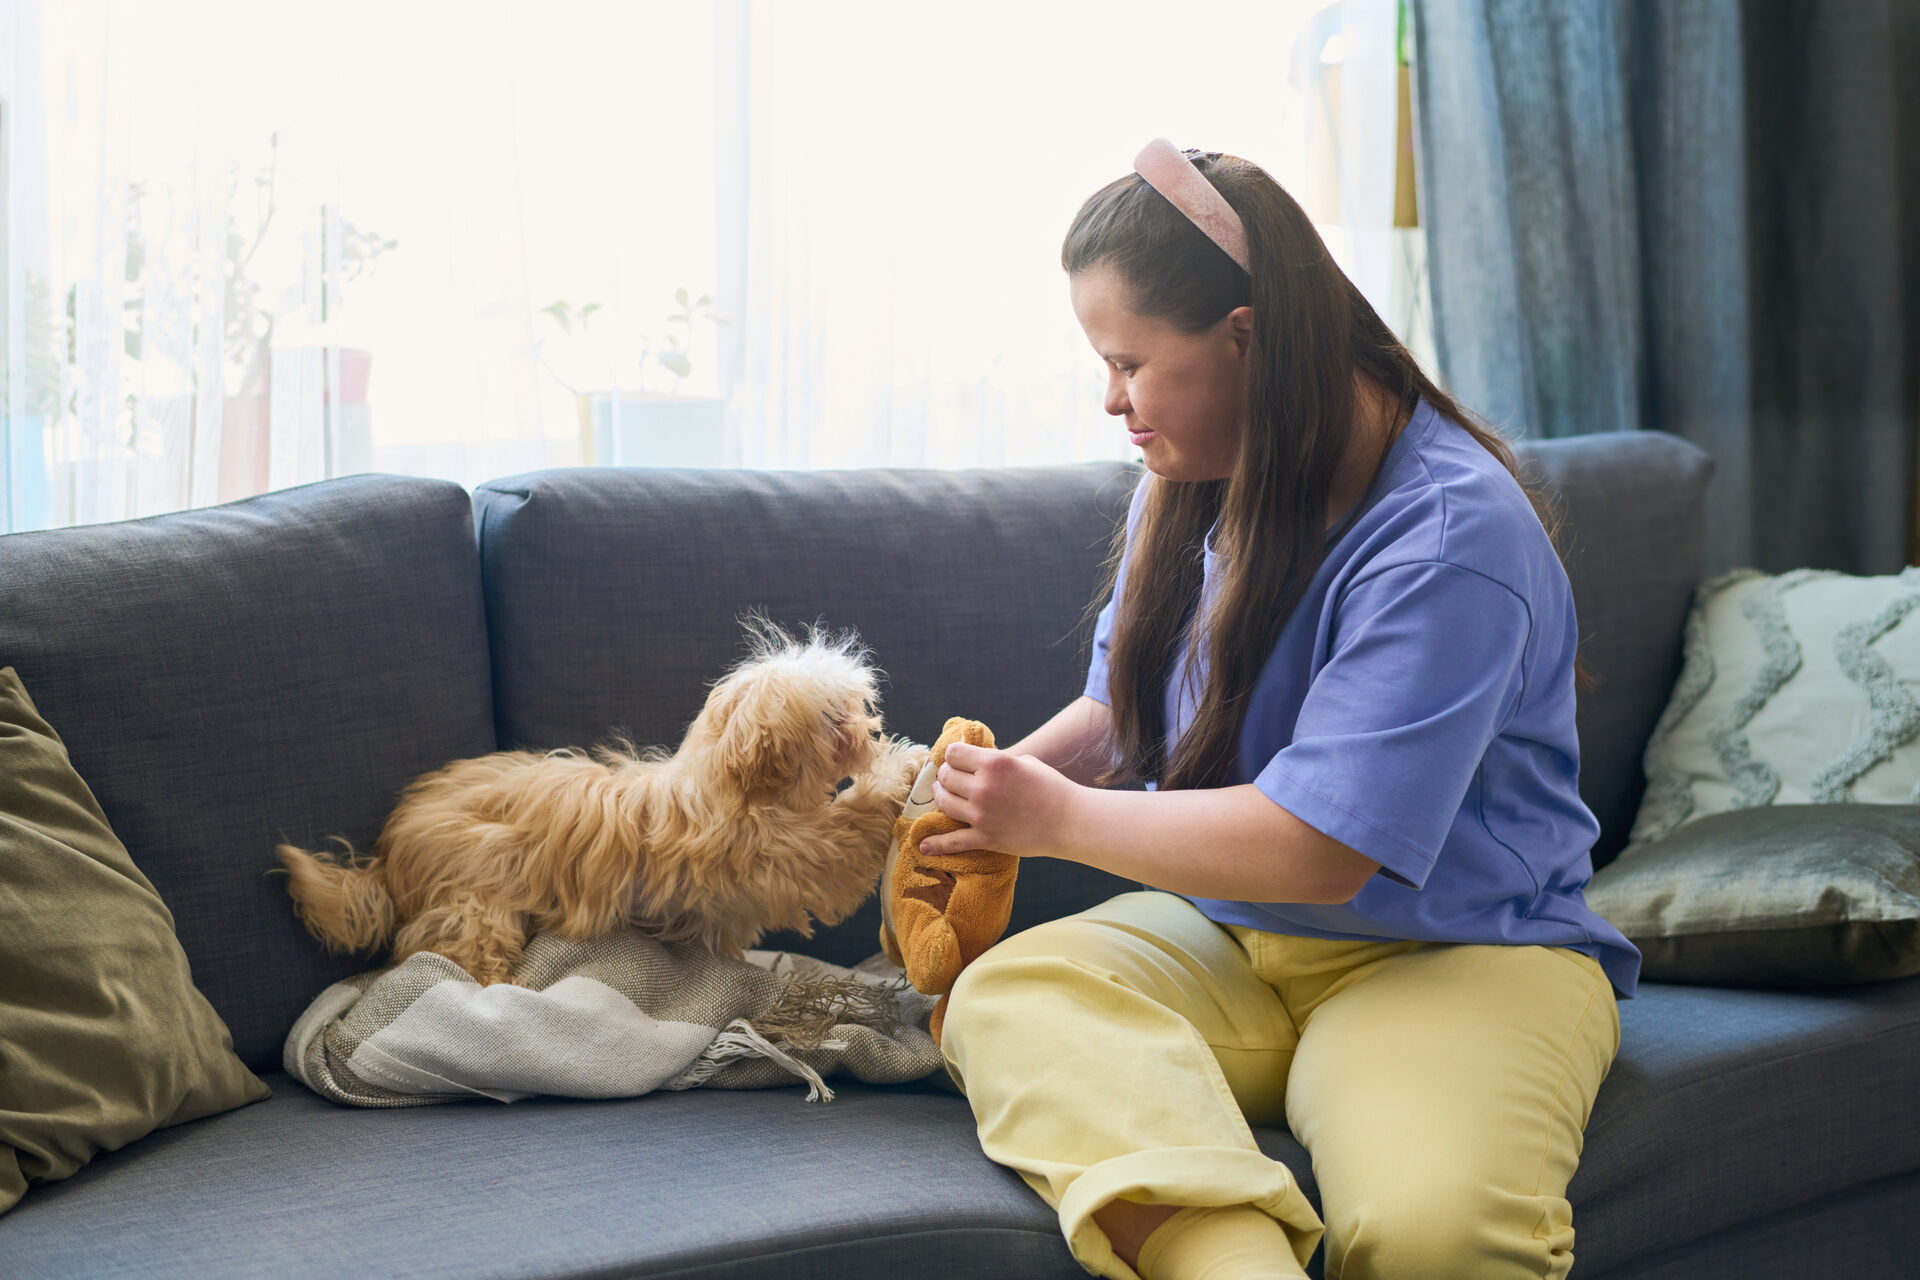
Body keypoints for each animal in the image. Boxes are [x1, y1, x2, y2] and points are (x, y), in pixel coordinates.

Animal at [274, 625, 925, 990]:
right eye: (836, 718)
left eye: (859, 705)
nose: (871, 729)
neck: (732, 782)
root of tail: (387, 856)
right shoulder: (797, 852)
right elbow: (848, 827)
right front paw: (904, 769)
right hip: (478, 899)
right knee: (462, 949)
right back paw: (496, 991)